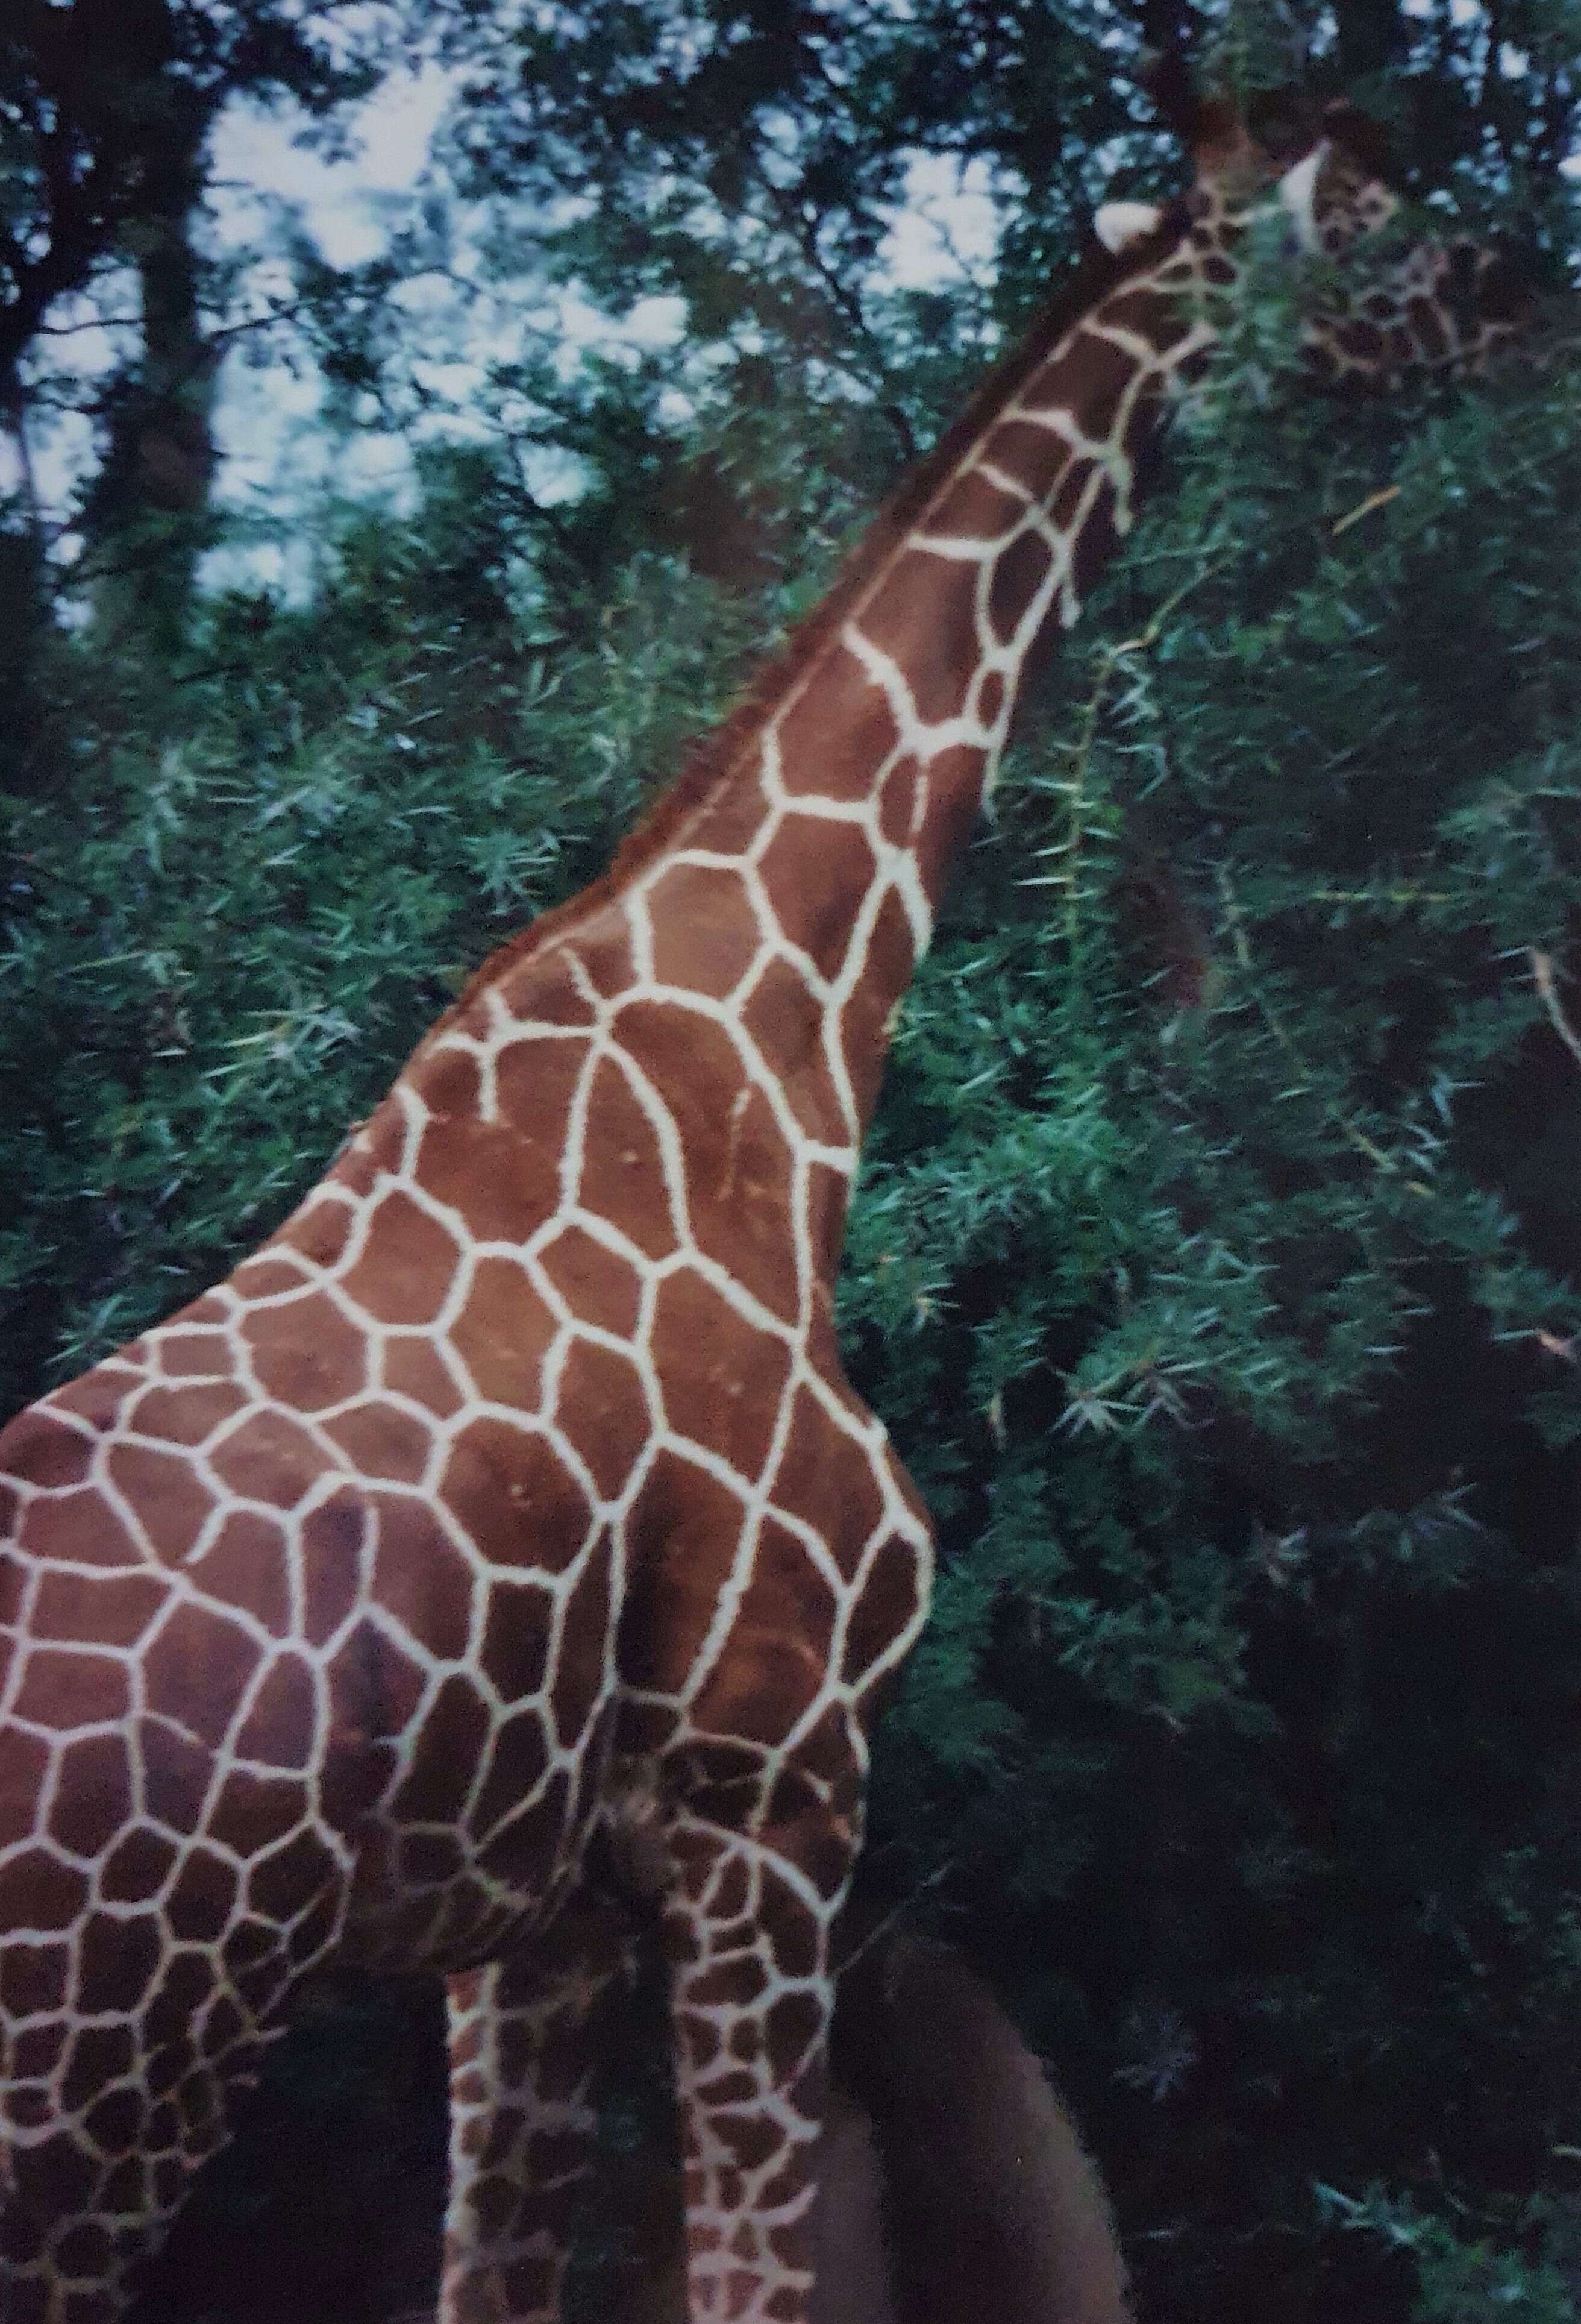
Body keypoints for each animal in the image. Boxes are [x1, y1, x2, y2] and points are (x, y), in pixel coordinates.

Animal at [0, 81, 1534, 2324]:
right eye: (1391, 234)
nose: (1529, 302)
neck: (772, 1033)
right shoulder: (775, 1796)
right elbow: (756, 2277)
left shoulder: (531, 1913)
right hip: (115, 2075)